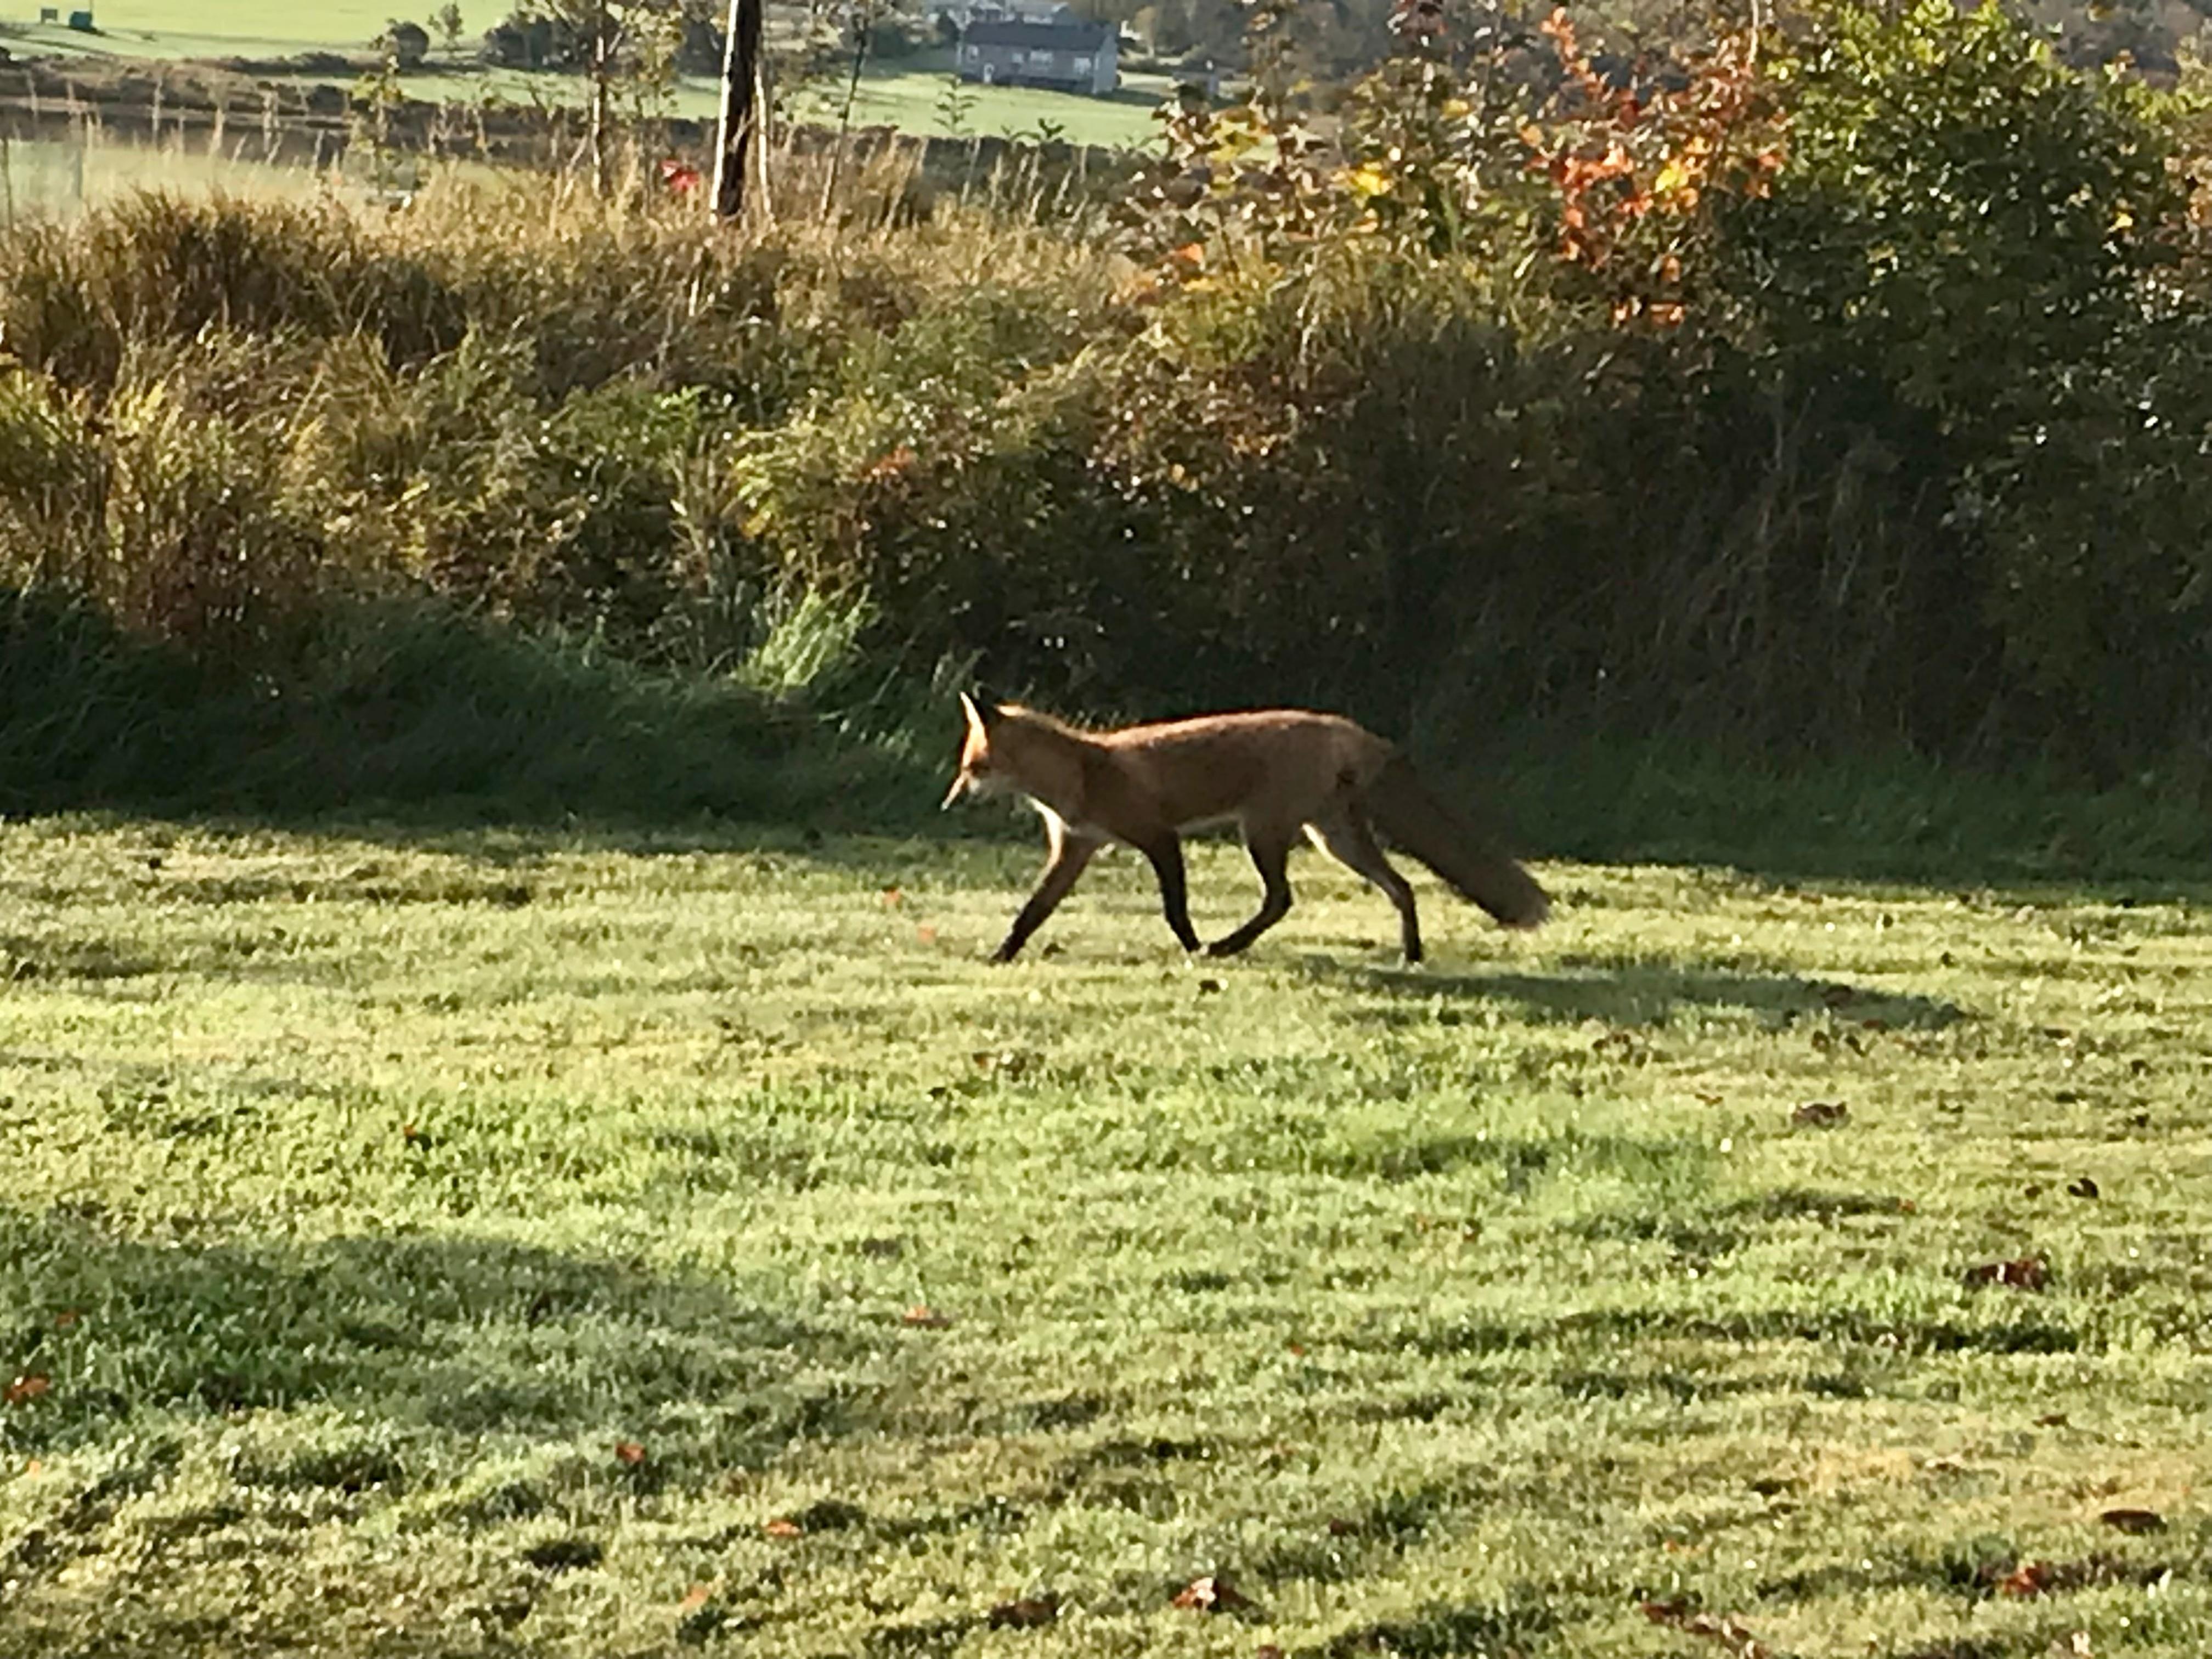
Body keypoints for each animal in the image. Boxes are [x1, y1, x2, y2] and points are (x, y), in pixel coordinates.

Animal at [940, 693, 1548, 964]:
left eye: (972, 767)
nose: (949, 803)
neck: (1085, 774)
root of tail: (1351, 730)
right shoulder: (1076, 848)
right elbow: (1032, 912)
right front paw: (1001, 956)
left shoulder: (1158, 837)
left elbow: (1175, 909)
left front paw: (1193, 948)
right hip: (1334, 839)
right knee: (1401, 887)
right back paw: (1413, 954)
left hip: (1264, 833)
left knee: (1281, 900)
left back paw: (1228, 945)